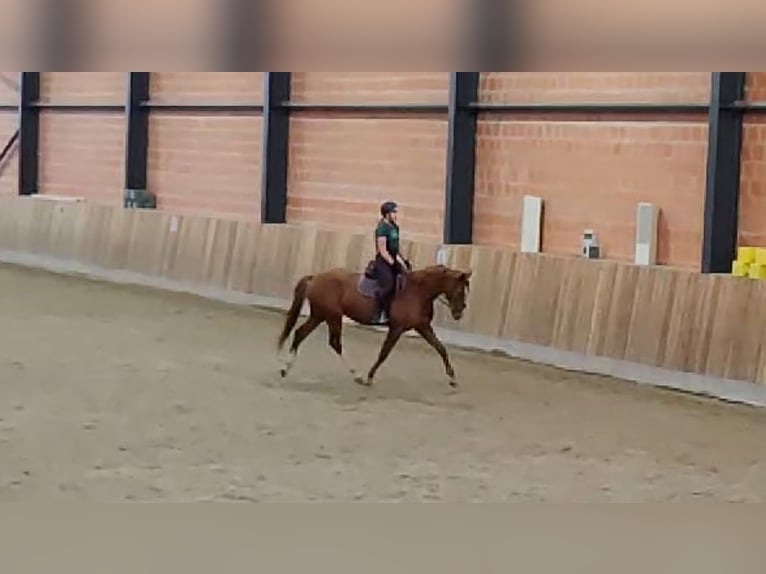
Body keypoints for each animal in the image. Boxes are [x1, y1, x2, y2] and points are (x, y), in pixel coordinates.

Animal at [277, 263, 472, 388]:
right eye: (460, 290)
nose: (459, 313)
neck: (417, 292)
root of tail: (315, 277)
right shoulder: (397, 328)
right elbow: (384, 353)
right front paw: (370, 377)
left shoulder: (422, 326)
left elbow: (440, 348)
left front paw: (453, 378)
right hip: (332, 316)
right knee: (334, 343)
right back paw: (357, 375)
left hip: (320, 315)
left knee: (300, 333)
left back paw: (285, 369)